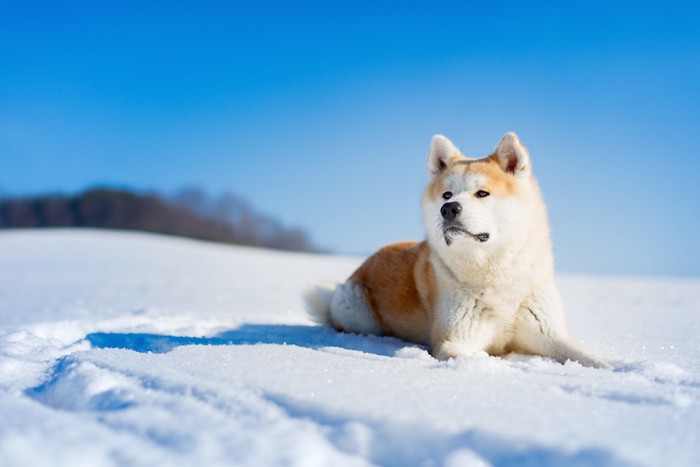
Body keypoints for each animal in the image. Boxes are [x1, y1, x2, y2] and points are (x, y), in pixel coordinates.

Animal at [306, 133, 608, 370]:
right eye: (446, 195)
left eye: (482, 193)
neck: (495, 270)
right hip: (355, 309)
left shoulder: (550, 334)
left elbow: (590, 358)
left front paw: (614, 369)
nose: (448, 209)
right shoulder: (454, 341)